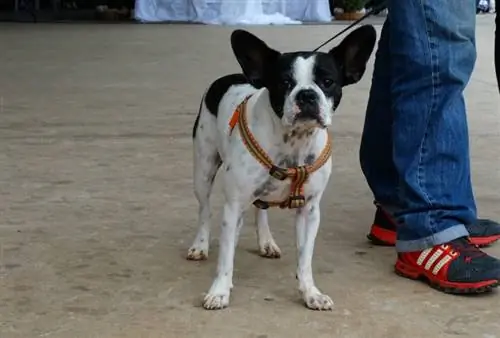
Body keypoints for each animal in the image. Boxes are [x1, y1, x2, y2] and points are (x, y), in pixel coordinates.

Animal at [188, 26, 376, 310]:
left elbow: (305, 258)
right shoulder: (233, 206)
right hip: (204, 169)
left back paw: (266, 241)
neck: (294, 142)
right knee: (204, 209)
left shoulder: (309, 211)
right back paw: (200, 245)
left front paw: (310, 292)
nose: (307, 94)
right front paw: (219, 291)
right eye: (284, 83)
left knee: (261, 209)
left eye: (327, 82)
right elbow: (226, 257)